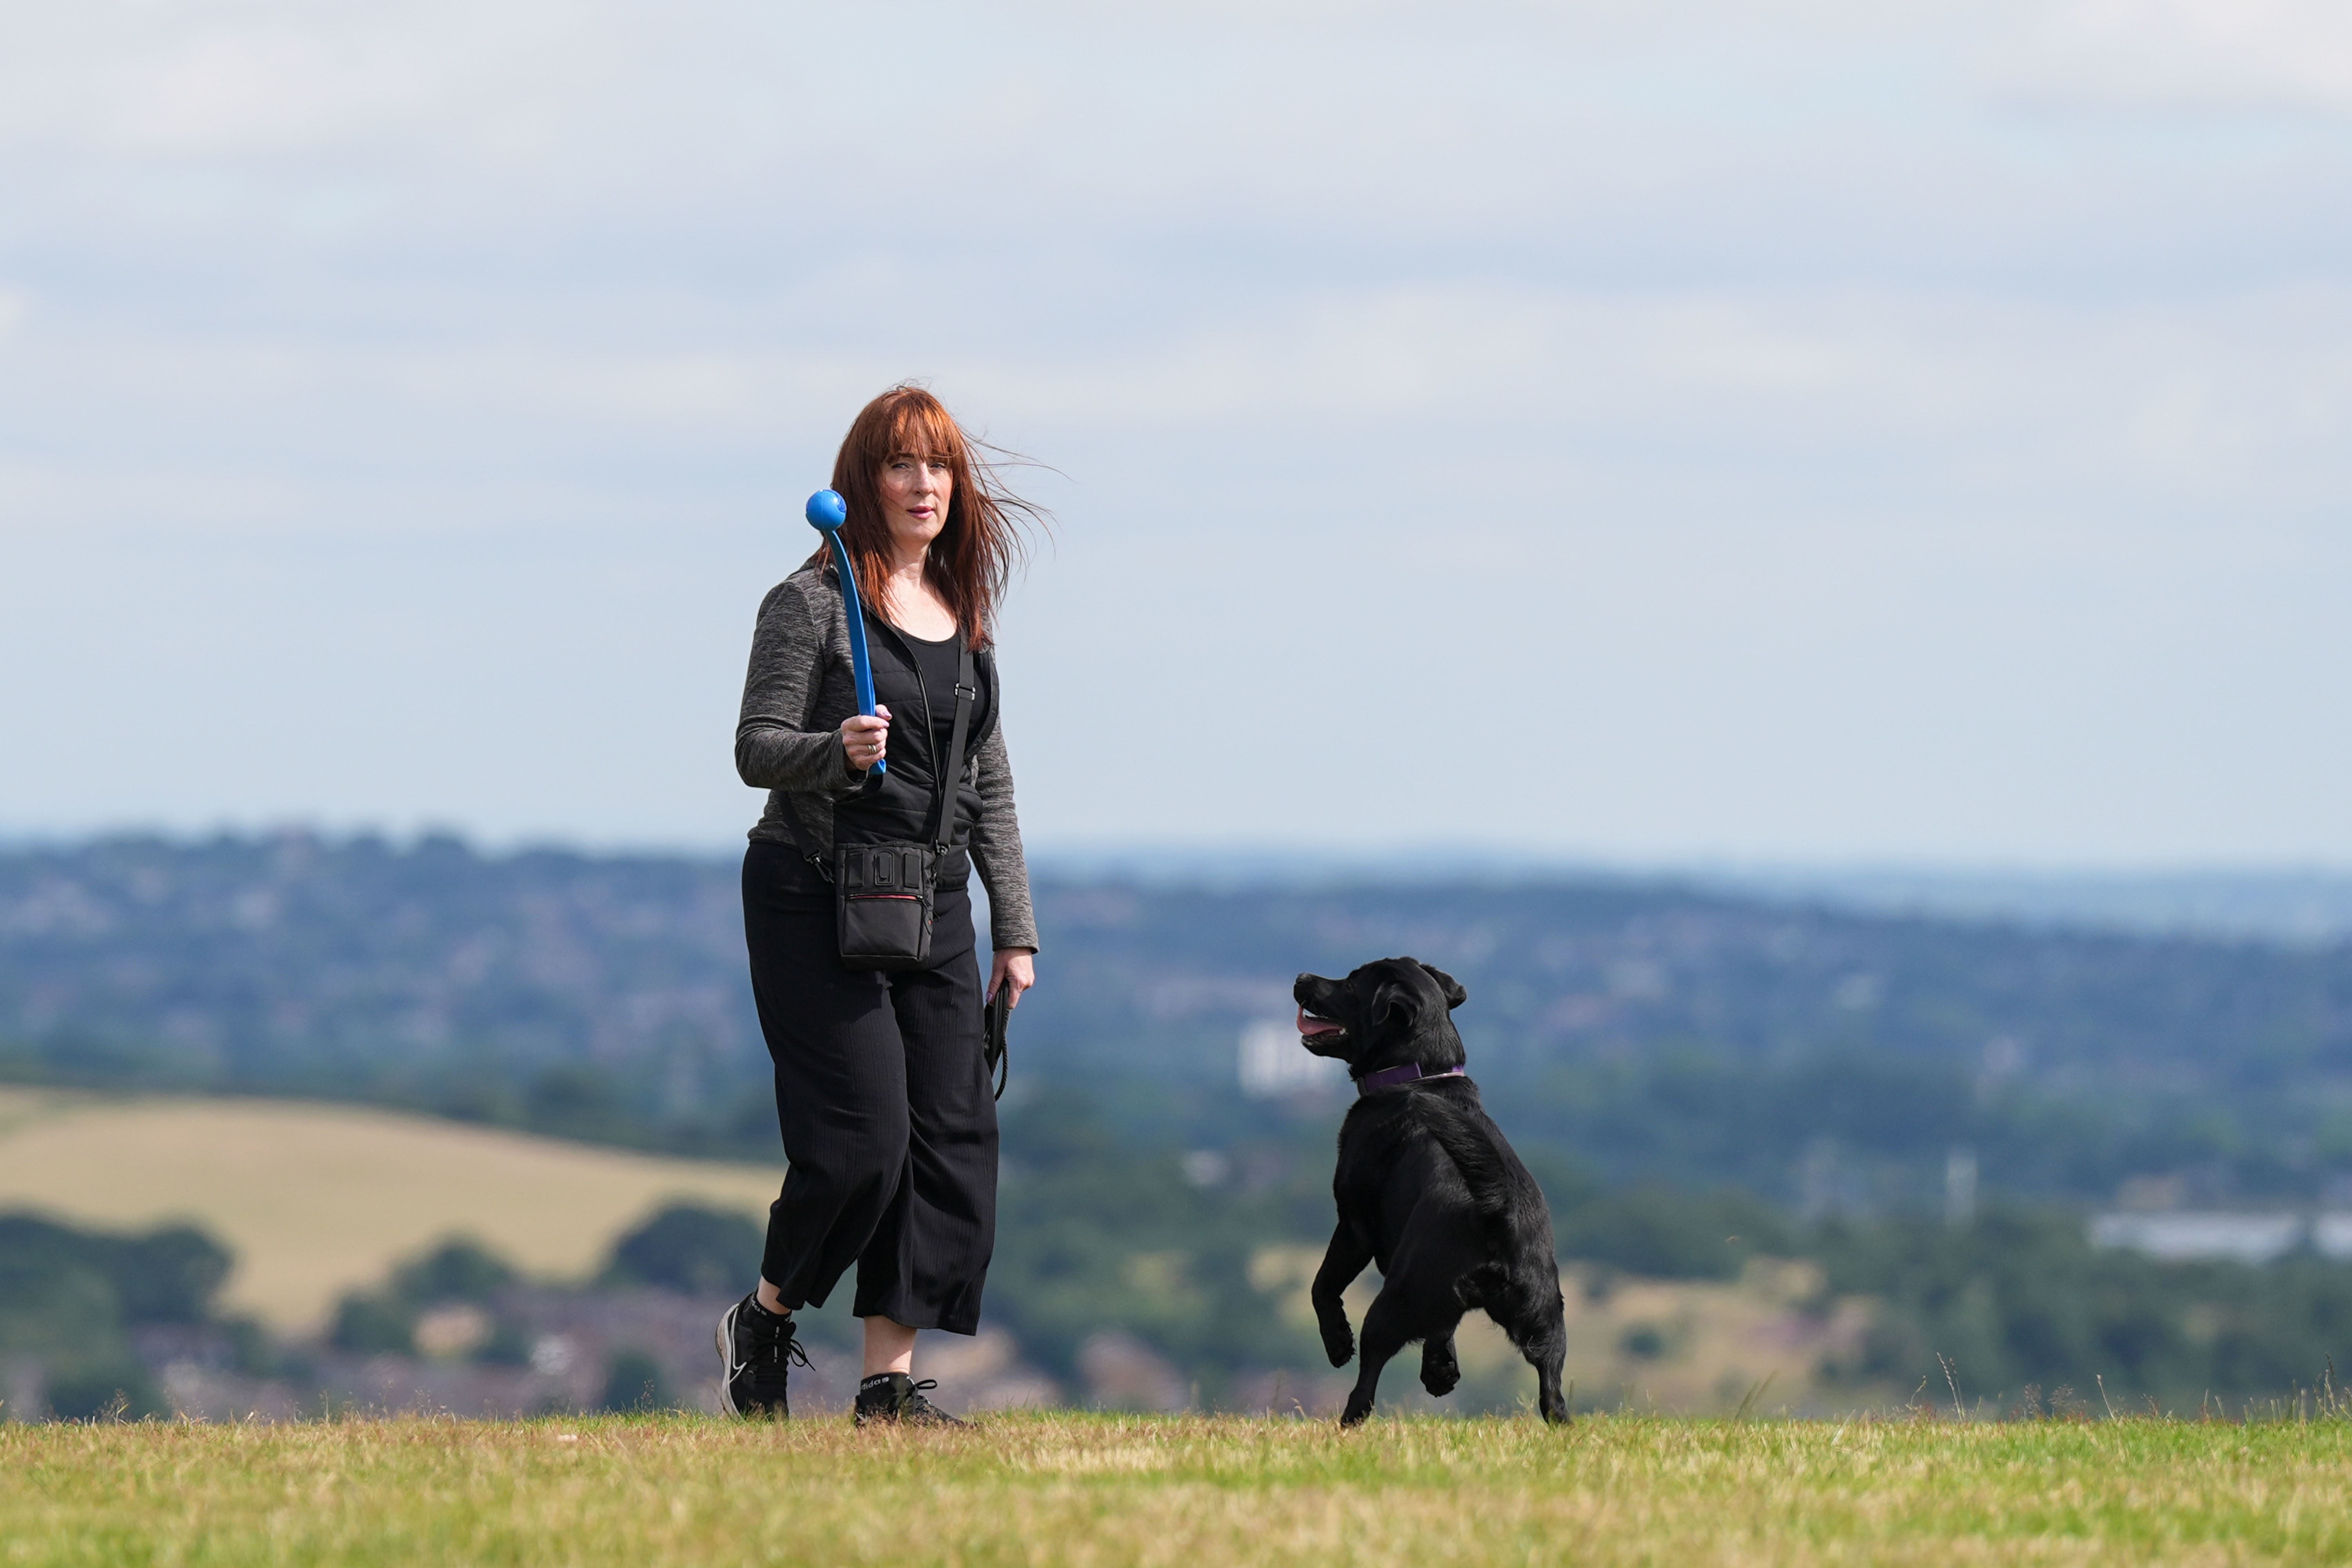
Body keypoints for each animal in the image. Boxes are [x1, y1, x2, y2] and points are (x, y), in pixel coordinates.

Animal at [1298, 959, 1571, 1420]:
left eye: (1351, 983)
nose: (1302, 979)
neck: (1422, 1074)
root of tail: (1496, 1214)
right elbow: (1443, 1331)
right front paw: (1441, 1373)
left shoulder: (1353, 1226)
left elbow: (1324, 1285)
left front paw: (1337, 1342)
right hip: (1547, 1322)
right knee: (1553, 1397)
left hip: (1394, 1302)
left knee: (1367, 1382)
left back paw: (1346, 1421)